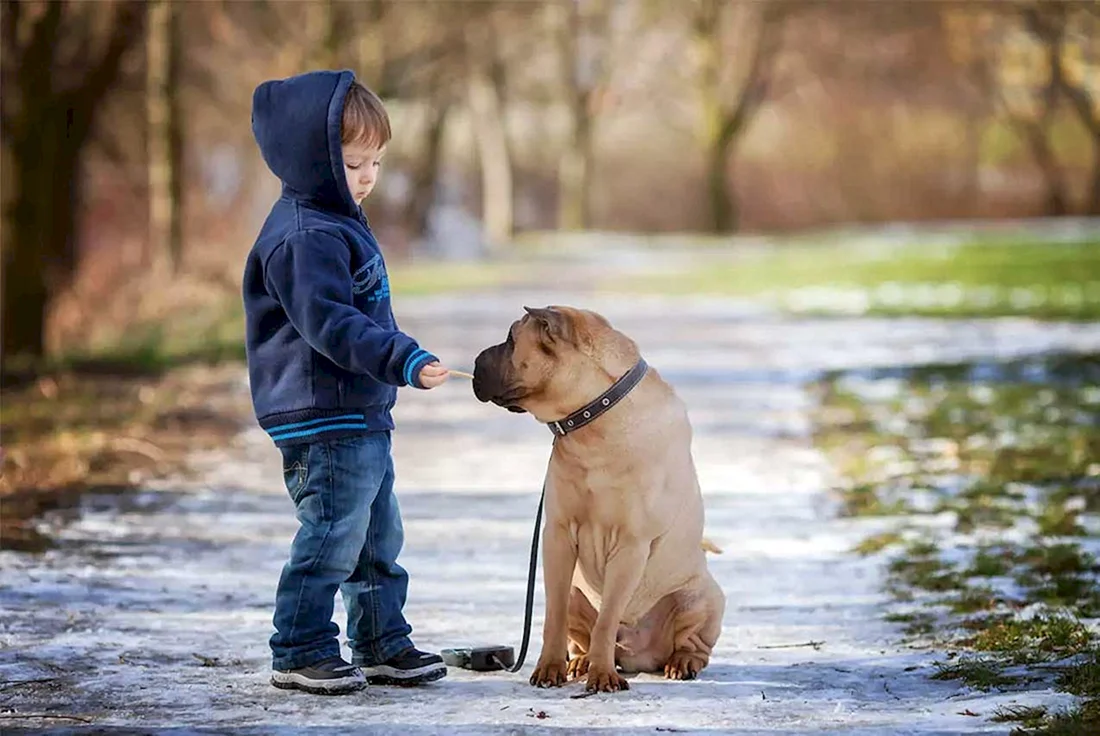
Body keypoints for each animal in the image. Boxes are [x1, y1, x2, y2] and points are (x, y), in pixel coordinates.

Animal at [470, 303, 721, 690]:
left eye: (512, 338)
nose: (475, 360)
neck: (592, 421)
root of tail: (638, 656)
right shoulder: (557, 536)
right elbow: (554, 615)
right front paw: (550, 668)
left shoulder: (630, 545)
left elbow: (608, 618)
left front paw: (603, 676)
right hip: (579, 594)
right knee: (580, 634)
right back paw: (580, 662)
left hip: (702, 596)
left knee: (692, 643)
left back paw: (680, 663)